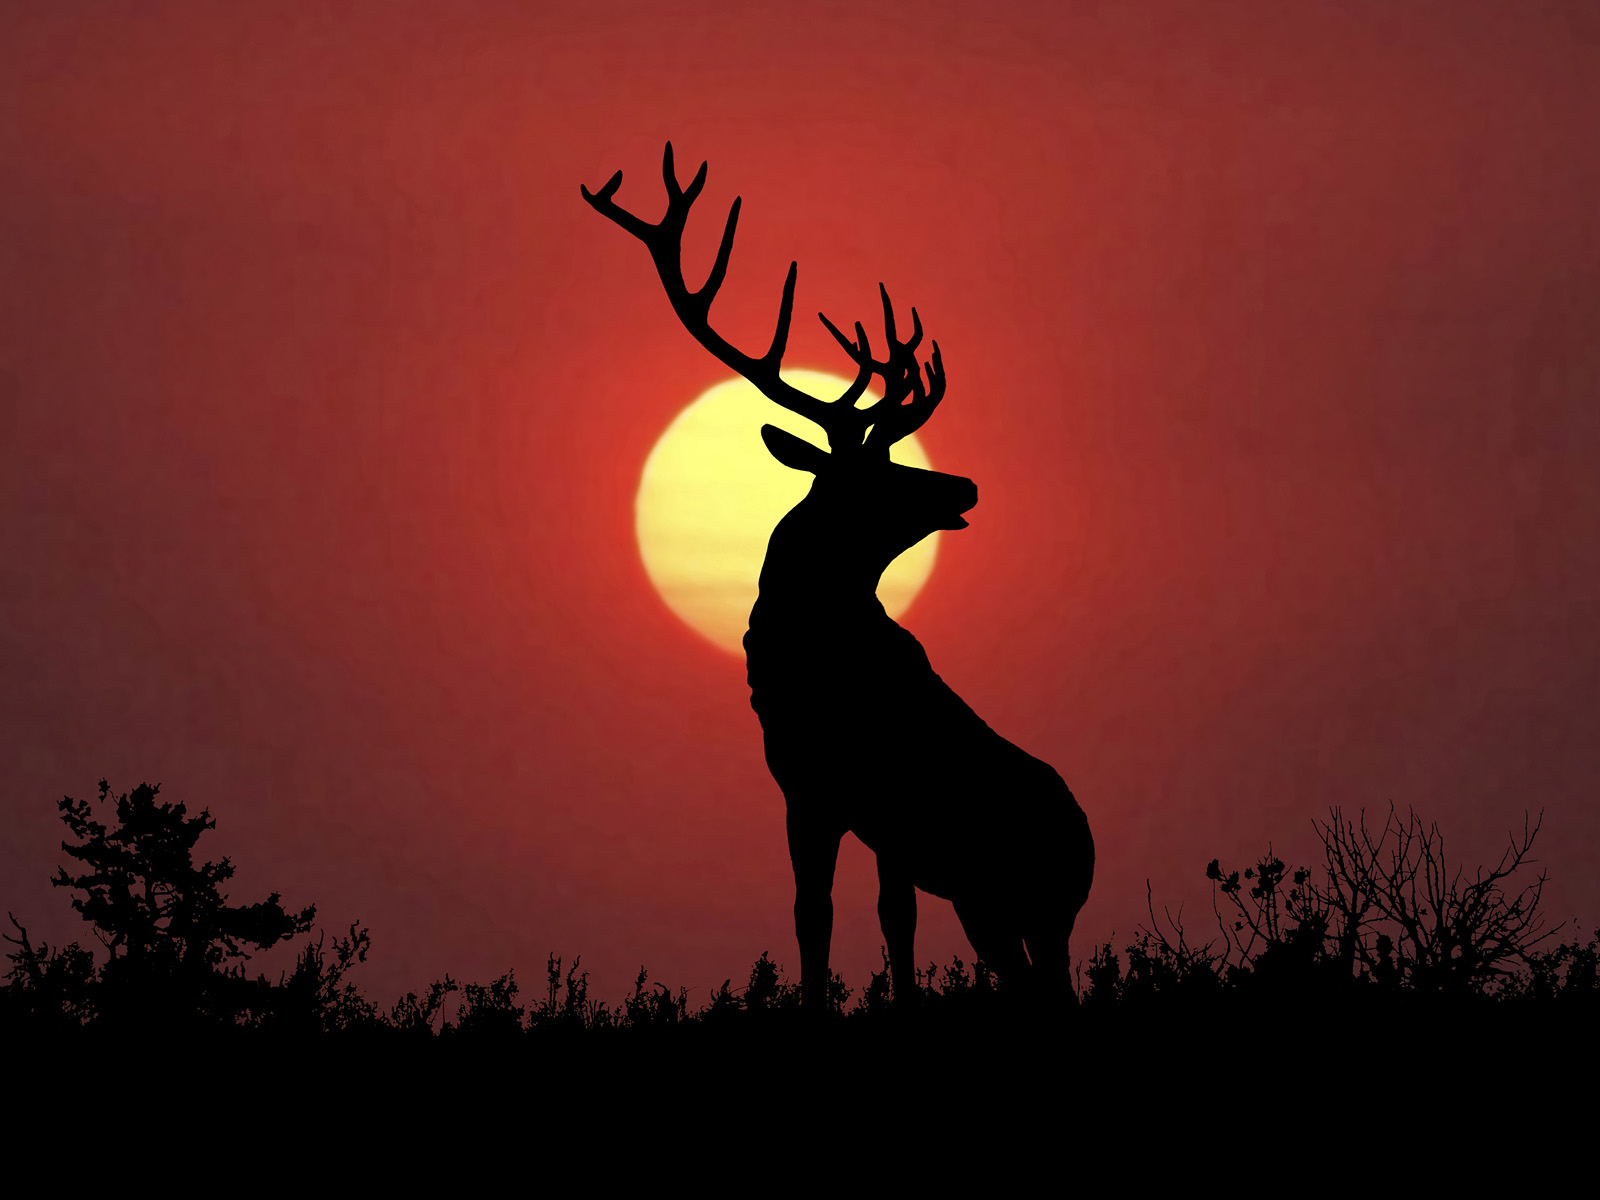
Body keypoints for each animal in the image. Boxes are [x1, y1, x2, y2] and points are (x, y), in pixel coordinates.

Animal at [583, 144, 1094, 1012]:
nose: (963, 485)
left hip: (1021, 903)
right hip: (1002, 908)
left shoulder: (853, 789)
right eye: (871, 474)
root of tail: (1087, 846)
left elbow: (862, 916)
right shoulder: (825, 795)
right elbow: (841, 915)